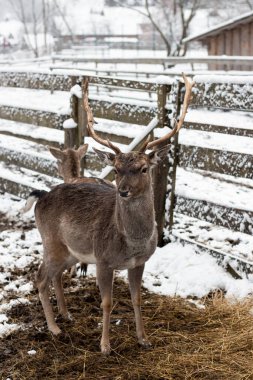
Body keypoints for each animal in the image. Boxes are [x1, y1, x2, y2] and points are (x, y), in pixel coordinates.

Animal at [25, 73, 193, 354]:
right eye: (116, 170)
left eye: (144, 168)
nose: (123, 191)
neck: (131, 242)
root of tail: (41, 197)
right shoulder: (103, 260)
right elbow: (106, 302)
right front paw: (104, 345)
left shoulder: (140, 262)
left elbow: (137, 299)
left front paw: (143, 338)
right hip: (51, 242)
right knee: (39, 278)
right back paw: (54, 328)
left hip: (72, 251)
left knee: (55, 275)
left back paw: (65, 315)